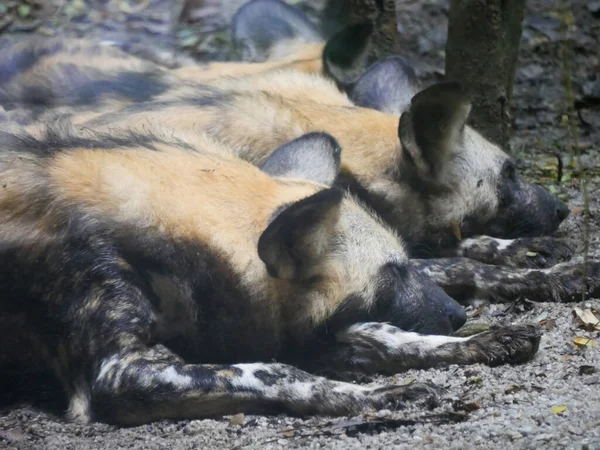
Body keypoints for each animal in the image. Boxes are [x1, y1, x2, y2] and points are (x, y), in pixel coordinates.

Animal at [0, 124, 544, 426]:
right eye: (390, 272)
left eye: (403, 261)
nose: (458, 315)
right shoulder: (118, 374)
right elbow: (276, 371)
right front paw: (382, 396)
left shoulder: (301, 328)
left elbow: (390, 336)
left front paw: (485, 340)